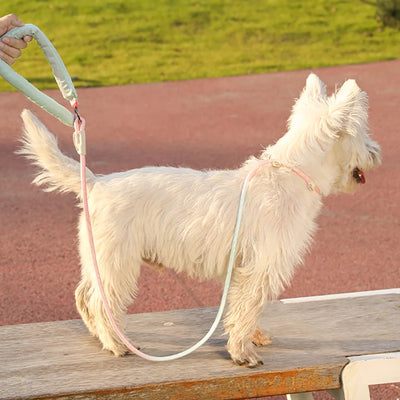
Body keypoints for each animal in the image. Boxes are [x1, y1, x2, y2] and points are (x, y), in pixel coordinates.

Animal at [18, 73, 382, 368]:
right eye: (363, 132)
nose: (377, 153)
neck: (288, 176)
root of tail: (95, 183)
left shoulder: (244, 269)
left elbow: (243, 308)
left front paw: (254, 337)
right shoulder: (261, 265)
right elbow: (248, 307)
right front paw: (242, 353)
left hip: (98, 258)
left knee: (84, 295)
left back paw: (104, 338)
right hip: (117, 261)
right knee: (98, 300)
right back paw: (116, 344)